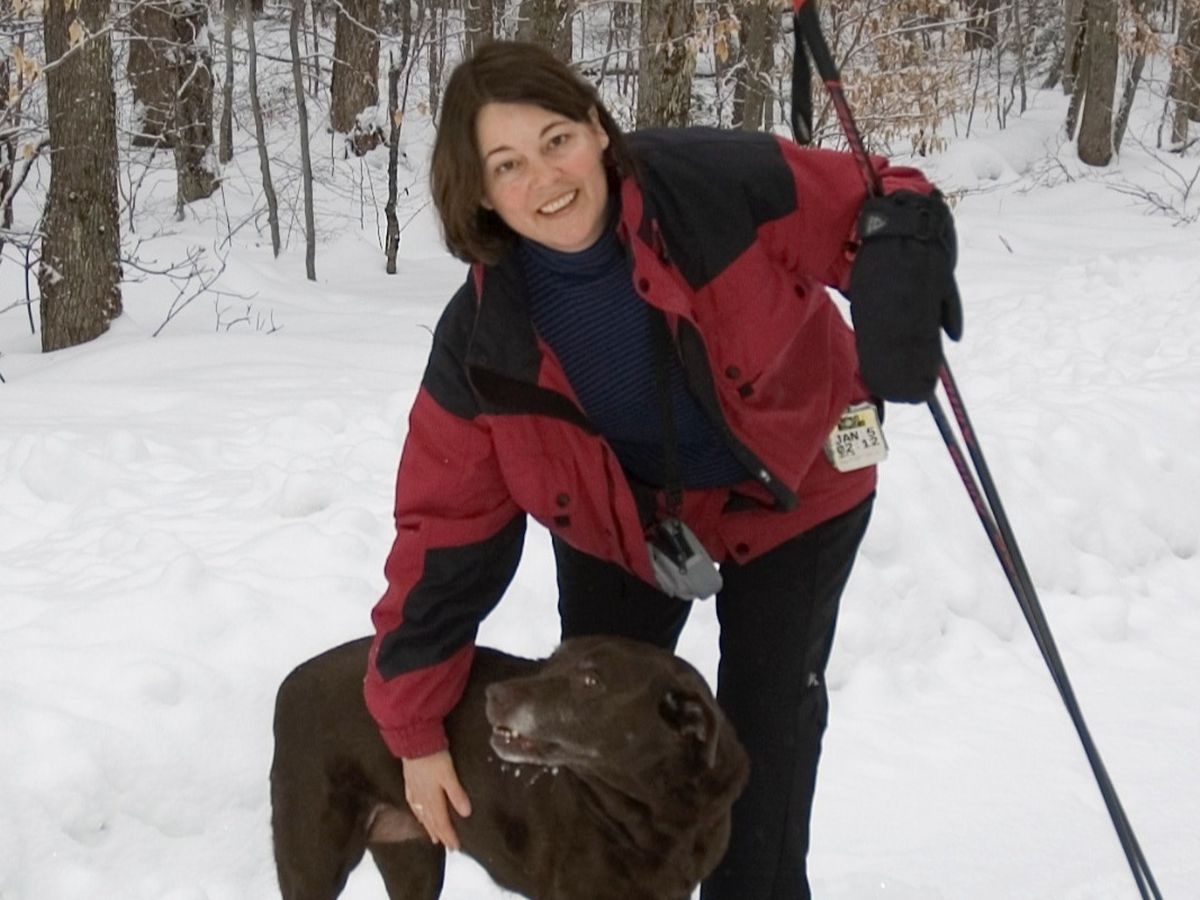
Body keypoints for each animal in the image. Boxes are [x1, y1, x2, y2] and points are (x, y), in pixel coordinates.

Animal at [270, 635, 749, 900]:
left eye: (590, 681)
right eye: (553, 659)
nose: (493, 695)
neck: (660, 814)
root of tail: (289, 682)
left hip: (411, 855)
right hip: (314, 863)